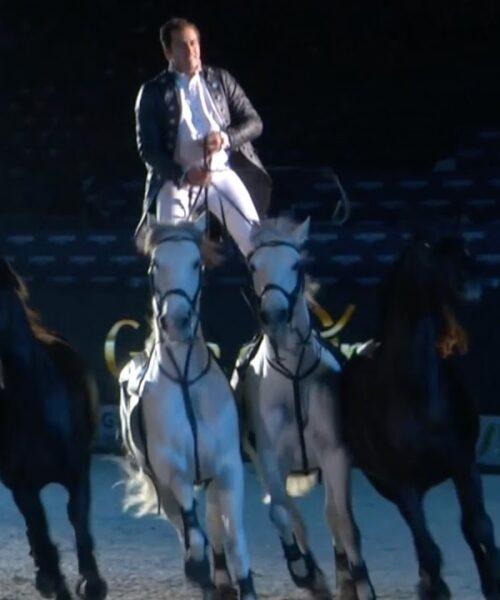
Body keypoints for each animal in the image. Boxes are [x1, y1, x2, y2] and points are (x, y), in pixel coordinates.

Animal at [0, 258, 107, 600]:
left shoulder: (78, 474)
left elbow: (78, 519)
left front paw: (91, 582)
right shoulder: (22, 485)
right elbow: (40, 531)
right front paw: (52, 580)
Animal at [119, 220, 256, 600]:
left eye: (197, 264)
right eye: (155, 265)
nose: (177, 321)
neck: (184, 380)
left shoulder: (227, 468)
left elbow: (235, 540)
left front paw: (243, 585)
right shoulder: (173, 471)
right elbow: (194, 536)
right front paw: (198, 571)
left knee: (214, 528)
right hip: (161, 485)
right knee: (186, 529)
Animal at [231, 219, 376, 600]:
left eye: (295, 265)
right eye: (254, 266)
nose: (274, 315)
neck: (293, 374)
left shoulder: (336, 453)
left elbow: (344, 521)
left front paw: (359, 582)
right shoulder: (268, 457)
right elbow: (282, 513)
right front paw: (304, 571)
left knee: (330, 514)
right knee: (291, 513)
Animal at [342, 238, 498, 600]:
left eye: (466, 248)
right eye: (428, 252)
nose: (474, 282)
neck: (419, 396)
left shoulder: (464, 464)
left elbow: (478, 528)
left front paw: (493, 583)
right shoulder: (403, 482)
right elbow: (429, 548)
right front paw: (435, 588)